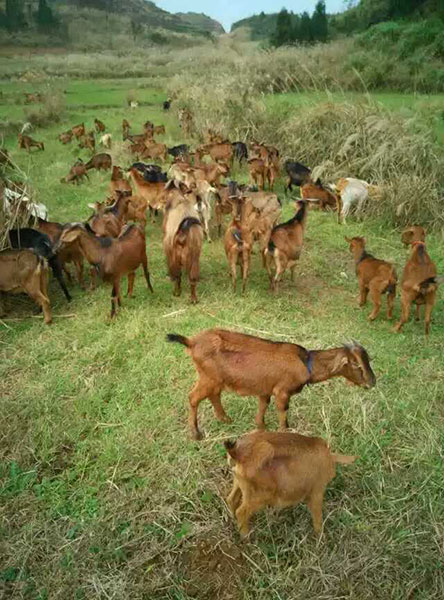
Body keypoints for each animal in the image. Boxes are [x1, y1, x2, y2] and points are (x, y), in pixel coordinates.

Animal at [166, 328, 374, 440]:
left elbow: (263, 406)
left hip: (215, 379)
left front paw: (260, 428)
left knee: (213, 395)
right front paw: (285, 433)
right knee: (193, 398)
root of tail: (192, 342)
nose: (372, 382)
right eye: (356, 364)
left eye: (368, 360)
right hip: (208, 377)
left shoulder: (265, 389)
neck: (305, 363)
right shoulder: (282, 391)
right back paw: (196, 433)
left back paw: (225, 419)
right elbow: (283, 412)